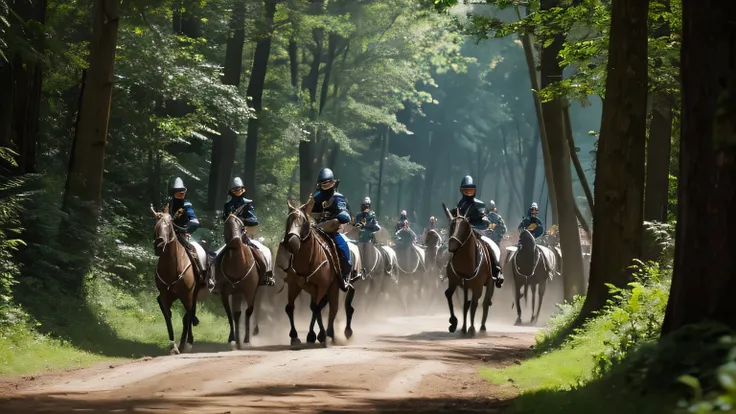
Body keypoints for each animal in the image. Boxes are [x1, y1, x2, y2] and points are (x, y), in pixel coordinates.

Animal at [150, 205, 207, 354]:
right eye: (156, 223)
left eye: (169, 223)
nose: (159, 244)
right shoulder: (165, 296)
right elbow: (168, 316)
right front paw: (173, 346)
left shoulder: (187, 295)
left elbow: (188, 315)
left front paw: (187, 343)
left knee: (189, 315)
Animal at [220, 210, 274, 350]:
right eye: (226, 224)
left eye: (241, 225)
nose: (235, 241)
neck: (238, 265)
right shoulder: (227, 293)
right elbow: (232, 314)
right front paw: (234, 339)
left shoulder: (250, 291)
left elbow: (249, 312)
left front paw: (246, 340)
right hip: (238, 294)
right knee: (238, 313)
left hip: (260, 290)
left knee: (257, 308)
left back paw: (255, 330)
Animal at [440, 202, 504, 334]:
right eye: (452, 225)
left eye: (465, 226)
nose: (452, 245)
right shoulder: (454, 282)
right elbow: (450, 295)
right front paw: (454, 323)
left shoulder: (477, 287)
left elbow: (474, 303)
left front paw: (471, 328)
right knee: (466, 304)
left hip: (490, 284)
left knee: (485, 302)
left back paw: (482, 327)